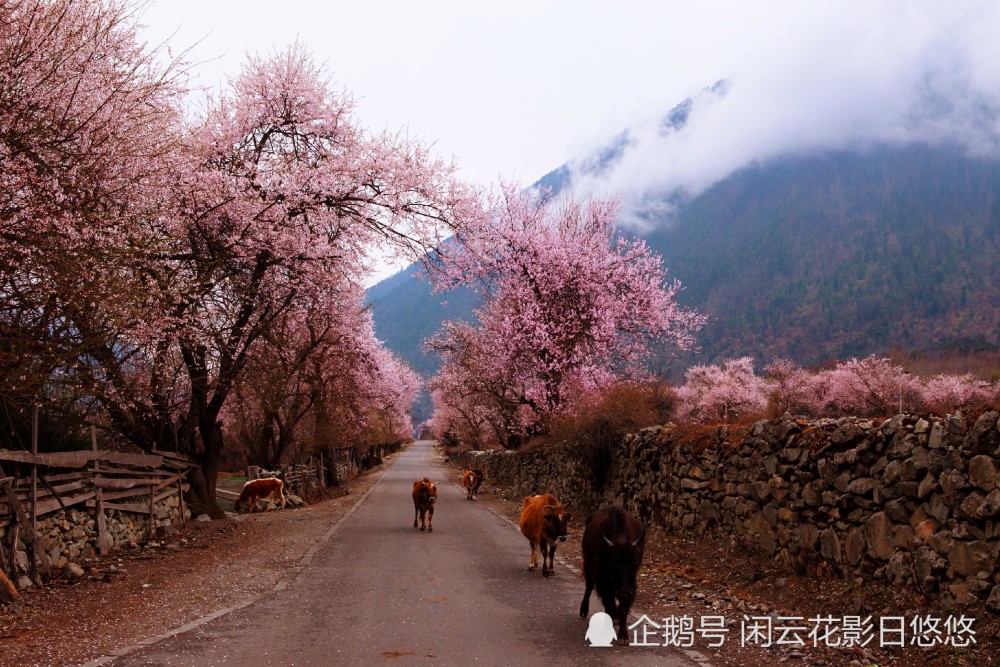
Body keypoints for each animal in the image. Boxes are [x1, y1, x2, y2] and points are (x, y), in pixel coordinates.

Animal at [584, 508, 644, 644]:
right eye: (612, 563)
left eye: (634, 563)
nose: (624, 593)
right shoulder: (603, 581)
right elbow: (608, 601)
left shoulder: (631, 587)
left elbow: (623, 609)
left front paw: (623, 636)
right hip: (588, 566)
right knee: (589, 586)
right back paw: (583, 610)